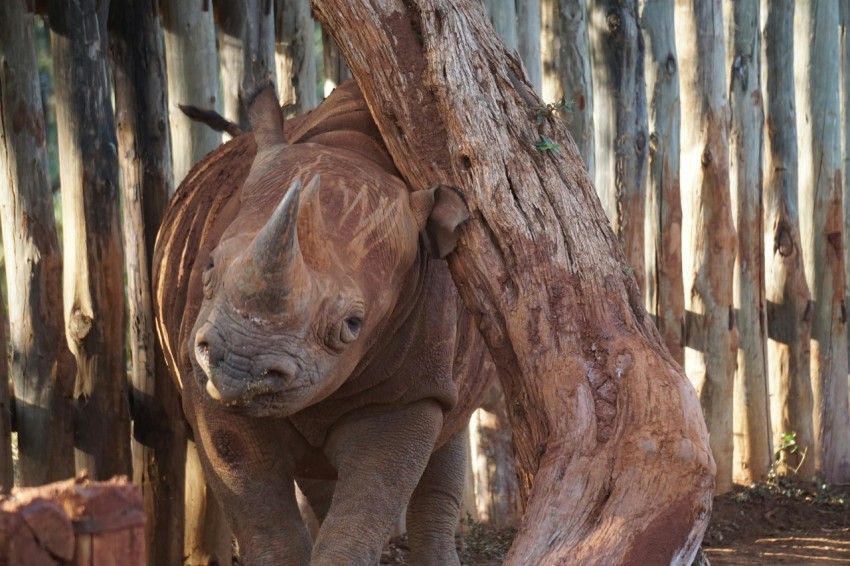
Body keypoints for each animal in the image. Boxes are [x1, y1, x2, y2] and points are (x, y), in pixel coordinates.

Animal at [153, 80, 495, 565]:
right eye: (209, 268)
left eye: (352, 324)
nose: (239, 365)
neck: (353, 147)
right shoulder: (202, 382)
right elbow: (259, 510)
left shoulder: (411, 393)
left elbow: (367, 504)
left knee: (448, 438)